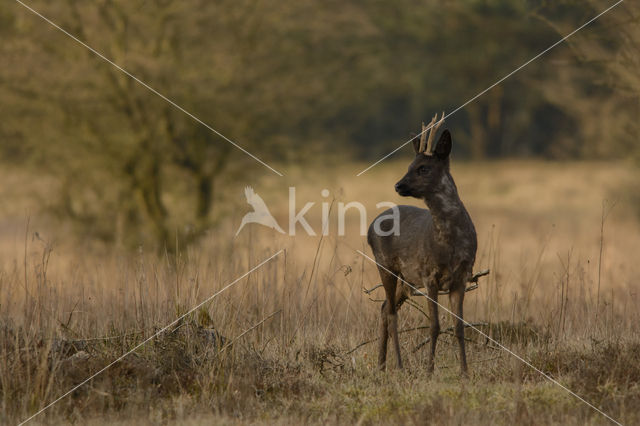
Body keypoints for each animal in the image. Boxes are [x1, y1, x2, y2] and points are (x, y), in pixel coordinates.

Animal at [368, 112, 478, 372]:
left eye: (423, 168)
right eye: (410, 166)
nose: (398, 185)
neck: (451, 242)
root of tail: (370, 226)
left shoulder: (462, 276)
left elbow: (459, 326)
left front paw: (465, 372)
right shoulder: (430, 275)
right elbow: (435, 325)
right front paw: (429, 371)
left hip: (406, 278)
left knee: (384, 308)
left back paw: (381, 364)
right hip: (385, 265)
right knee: (391, 313)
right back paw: (397, 365)